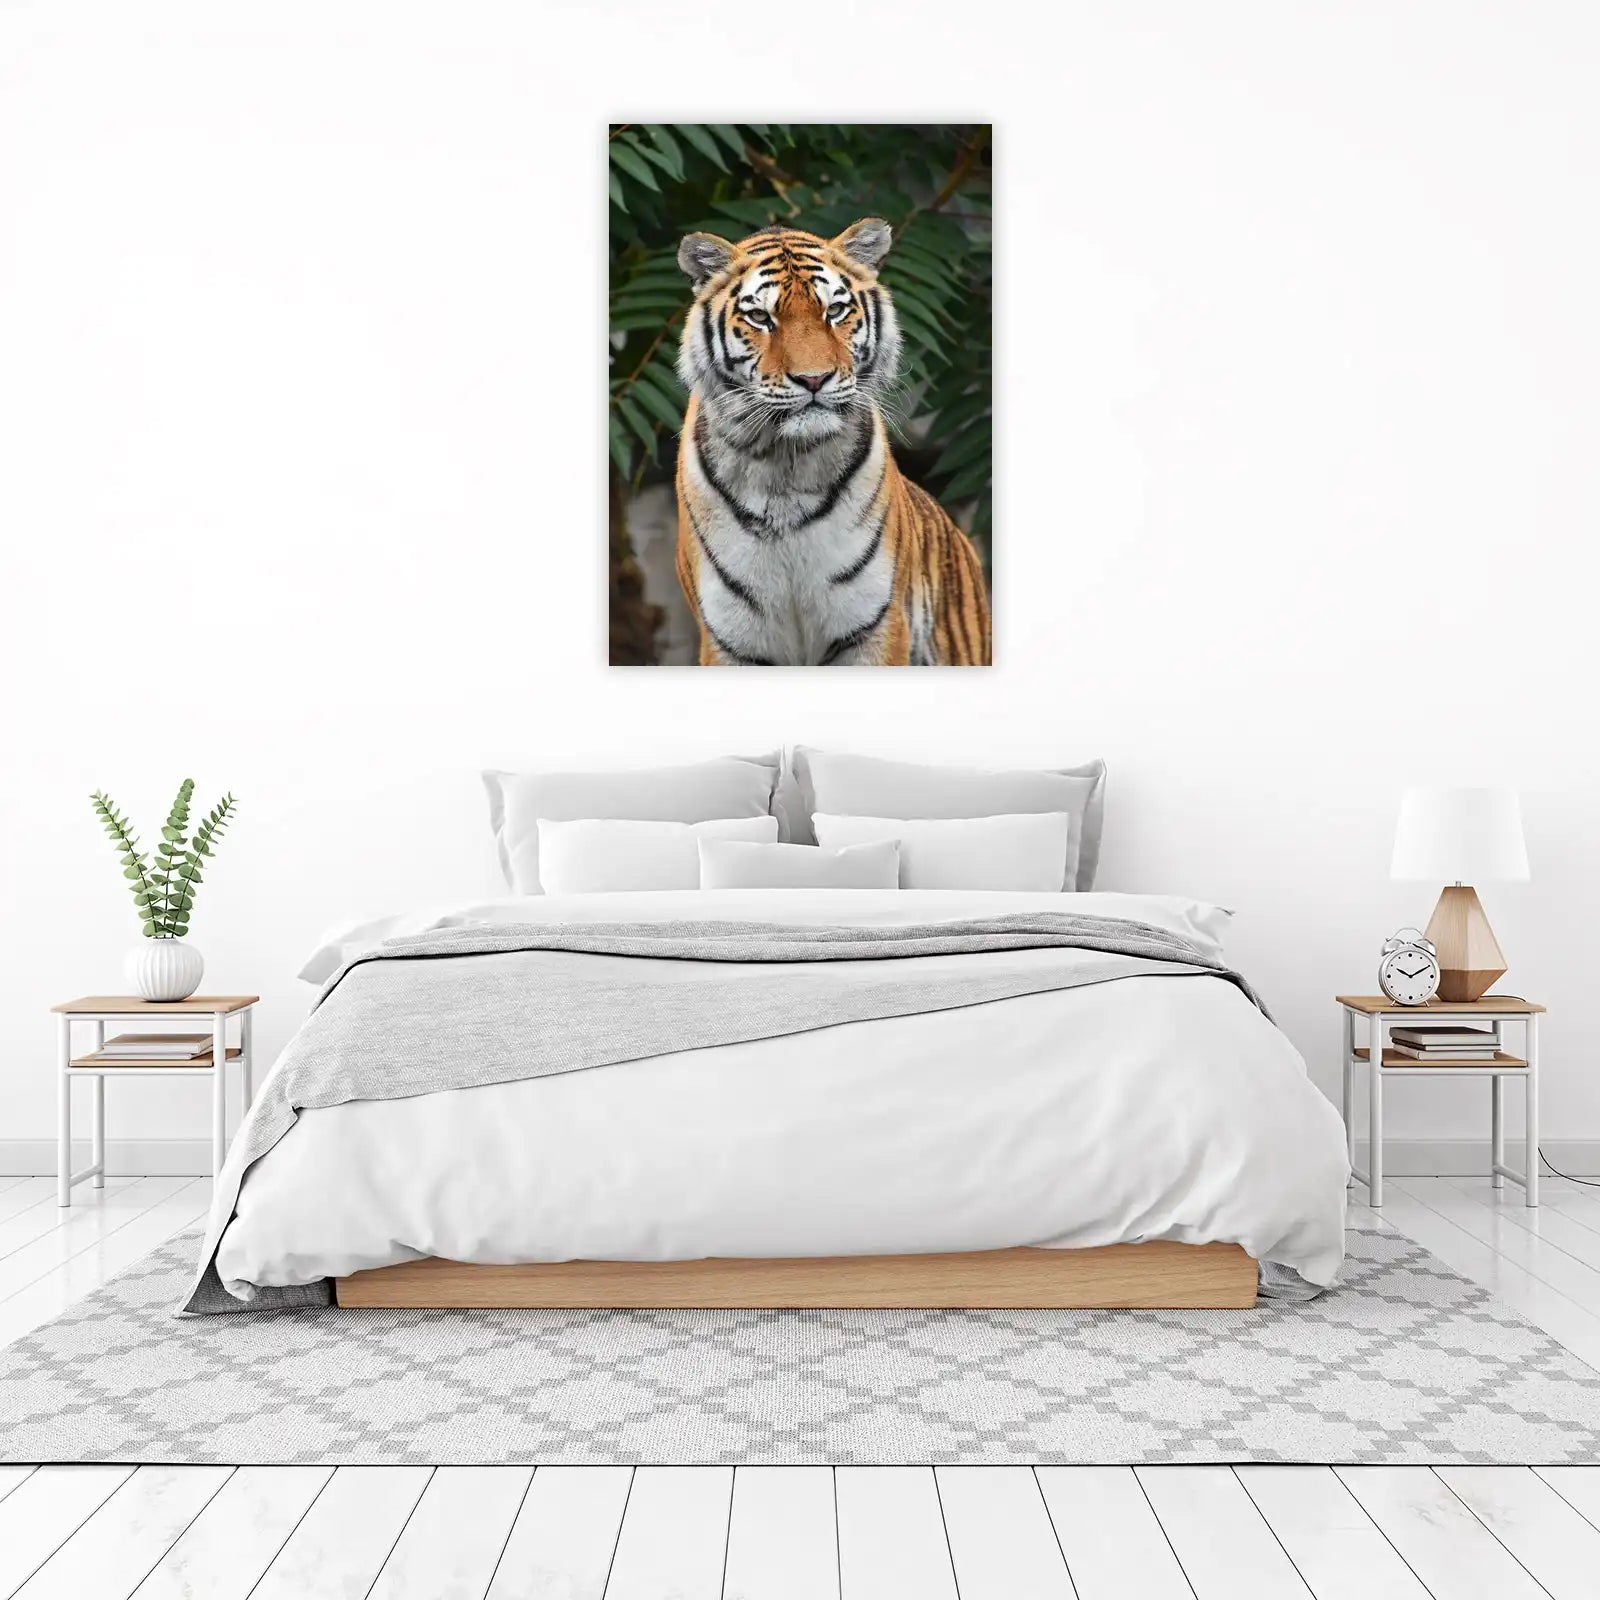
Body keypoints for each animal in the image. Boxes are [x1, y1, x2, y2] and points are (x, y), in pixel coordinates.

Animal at [673, 218, 991, 666]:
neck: (783, 466)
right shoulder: (730, 641)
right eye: (760, 317)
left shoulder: (875, 626)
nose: (814, 379)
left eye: (835, 310)